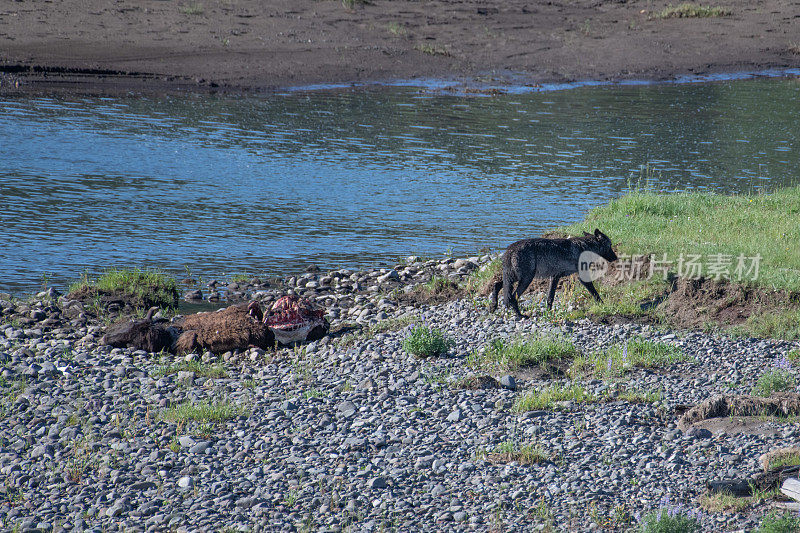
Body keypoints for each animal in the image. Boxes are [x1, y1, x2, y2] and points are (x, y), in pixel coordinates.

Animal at [488, 228, 620, 318]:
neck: (585, 248)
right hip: (526, 279)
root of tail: (510, 249)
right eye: (610, 245)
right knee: (512, 297)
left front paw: (548, 312)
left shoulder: (555, 277)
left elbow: (550, 298)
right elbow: (595, 293)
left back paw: (493, 306)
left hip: (515, 278)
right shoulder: (582, 278)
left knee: (497, 285)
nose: (616, 258)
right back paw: (520, 316)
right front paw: (603, 304)